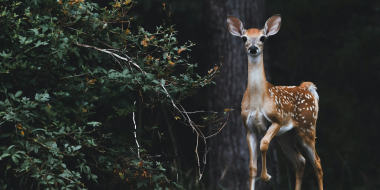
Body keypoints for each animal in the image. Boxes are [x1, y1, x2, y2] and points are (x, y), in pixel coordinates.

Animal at [226, 14, 324, 189]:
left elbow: (264, 144)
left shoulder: (276, 119)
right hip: (286, 135)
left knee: (317, 162)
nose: (253, 48)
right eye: (244, 38)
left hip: (307, 126)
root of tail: (307, 88)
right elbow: (252, 167)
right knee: (300, 161)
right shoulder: (249, 128)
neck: (258, 102)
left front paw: (266, 177)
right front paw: (261, 175)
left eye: (262, 38)